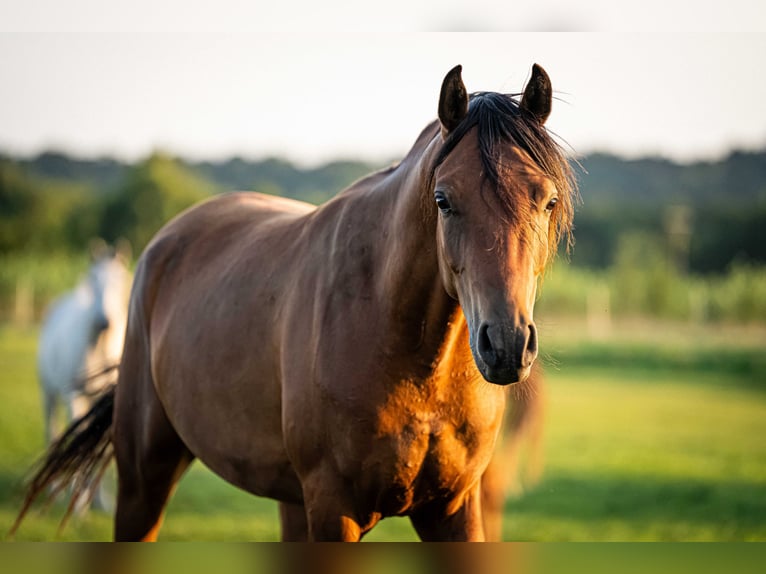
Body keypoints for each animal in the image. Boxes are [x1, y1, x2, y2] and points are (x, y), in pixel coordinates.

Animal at [35, 239, 132, 510]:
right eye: (94, 279)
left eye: (120, 280)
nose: (103, 321)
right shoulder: (73, 396)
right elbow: (78, 436)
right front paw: (79, 504)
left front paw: (100, 502)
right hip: (49, 395)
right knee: (52, 433)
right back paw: (56, 490)